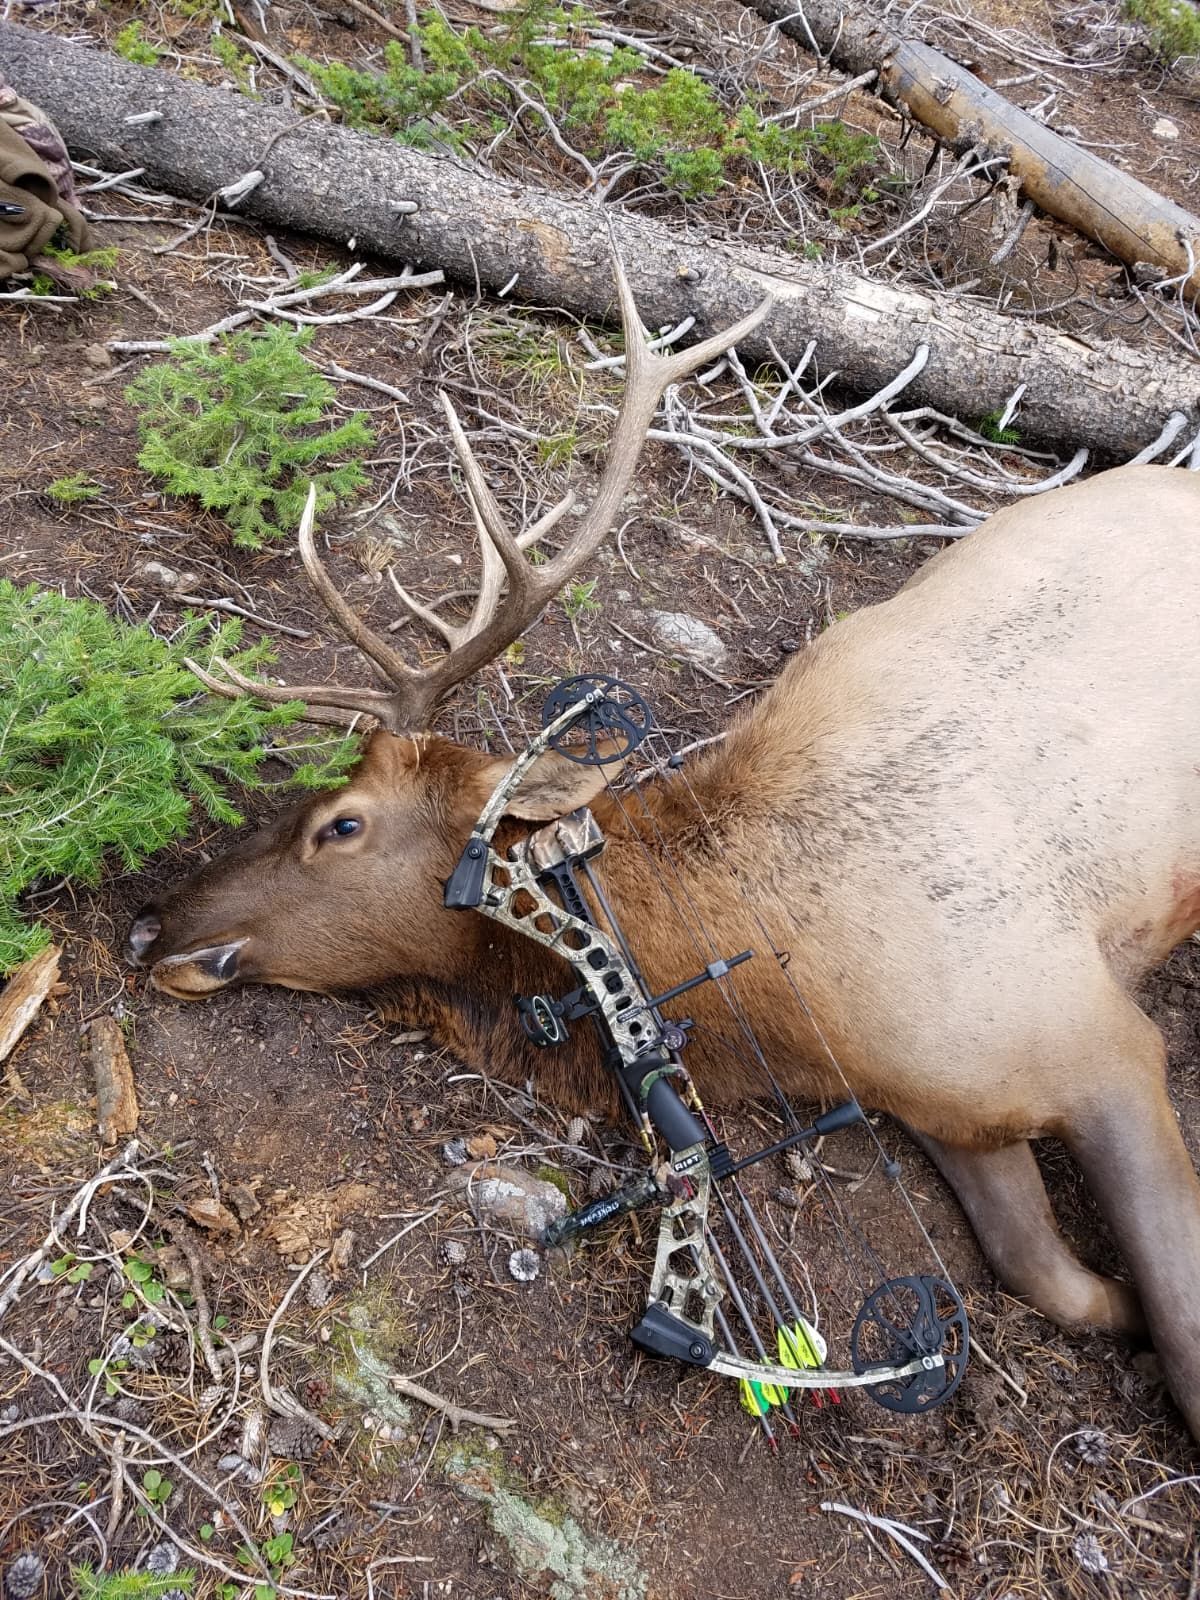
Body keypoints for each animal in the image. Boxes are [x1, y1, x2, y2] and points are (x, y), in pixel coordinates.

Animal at [125, 261, 1200, 1442]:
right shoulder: (949, 1108)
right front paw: (1116, 1310)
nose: (152, 925)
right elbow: (1045, 1274)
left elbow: (1183, 1327)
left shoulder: (1102, 1038)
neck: (800, 1000)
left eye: (342, 823)